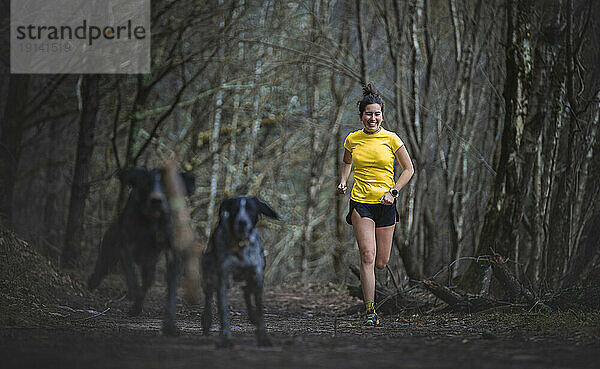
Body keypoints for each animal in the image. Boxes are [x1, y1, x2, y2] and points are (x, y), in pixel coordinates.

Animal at [88, 167, 195, 334]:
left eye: (167, 184)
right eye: (147, 182)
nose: (156, 200)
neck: (153, 220)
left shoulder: (171, 251)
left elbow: (171, 290)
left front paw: (170, 325)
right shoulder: (125, 244)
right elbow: (131, 274)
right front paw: (134, 297)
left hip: (149, 263)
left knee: (147, 280)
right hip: (110, 245)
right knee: (103, 264)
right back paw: (93, 282)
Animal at [200, 197, 278, 346]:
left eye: (251, 209)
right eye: (235, 209)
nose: (242, 222)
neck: (240, 244)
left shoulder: (257, 277)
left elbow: (260, 309)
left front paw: (263, 337)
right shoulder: (223, 278)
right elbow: (223, 310)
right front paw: (225, 338)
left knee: (246, 290)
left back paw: (252, 316)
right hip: (209, 274)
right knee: (208, 295)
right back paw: (206, 321)